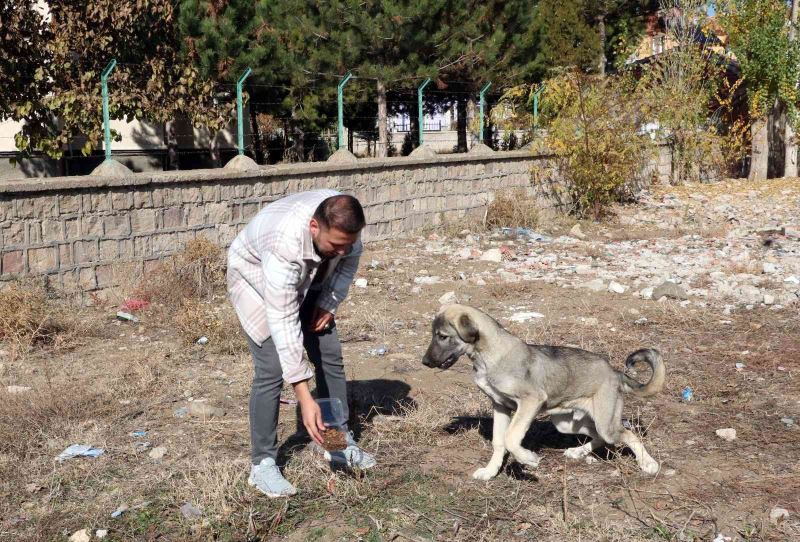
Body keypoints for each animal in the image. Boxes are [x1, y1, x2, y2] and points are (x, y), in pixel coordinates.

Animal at [422, 306, 664, 480]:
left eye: (442, 336)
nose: (424, 362)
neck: (489, 357)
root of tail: (615, 372)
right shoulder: (499, 406)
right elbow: (499, 442)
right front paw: (490, 472)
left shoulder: (530, 401)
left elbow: (511, 437)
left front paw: (528, 459)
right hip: (567, 423)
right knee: (598, 437)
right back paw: (577, 452)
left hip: (606, 424)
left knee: (627, 435)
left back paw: (648, 463)